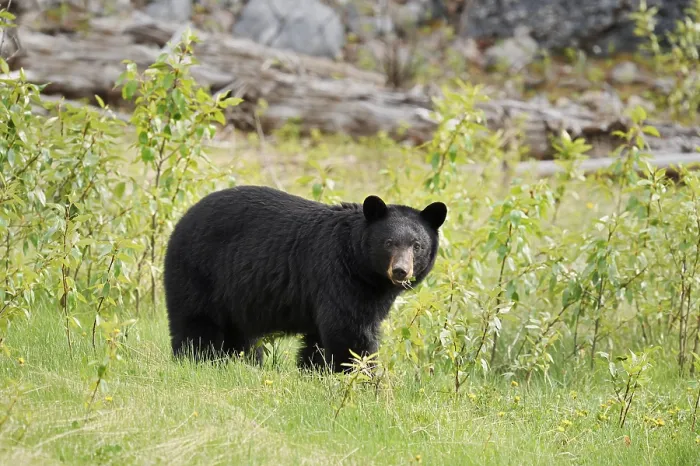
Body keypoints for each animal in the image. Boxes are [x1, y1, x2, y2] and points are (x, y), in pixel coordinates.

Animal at [163, 185, 447, 372]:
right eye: (388, 243)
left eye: (417, 246)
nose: (400, 271)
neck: (361, 265)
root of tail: (182, 220)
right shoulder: (338, 275)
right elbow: (349, 330)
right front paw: (361, 377)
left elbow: (320, 338)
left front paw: (314, 371)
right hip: (199, 272)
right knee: (197, 322)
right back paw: (198, 359)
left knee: (240, 334)